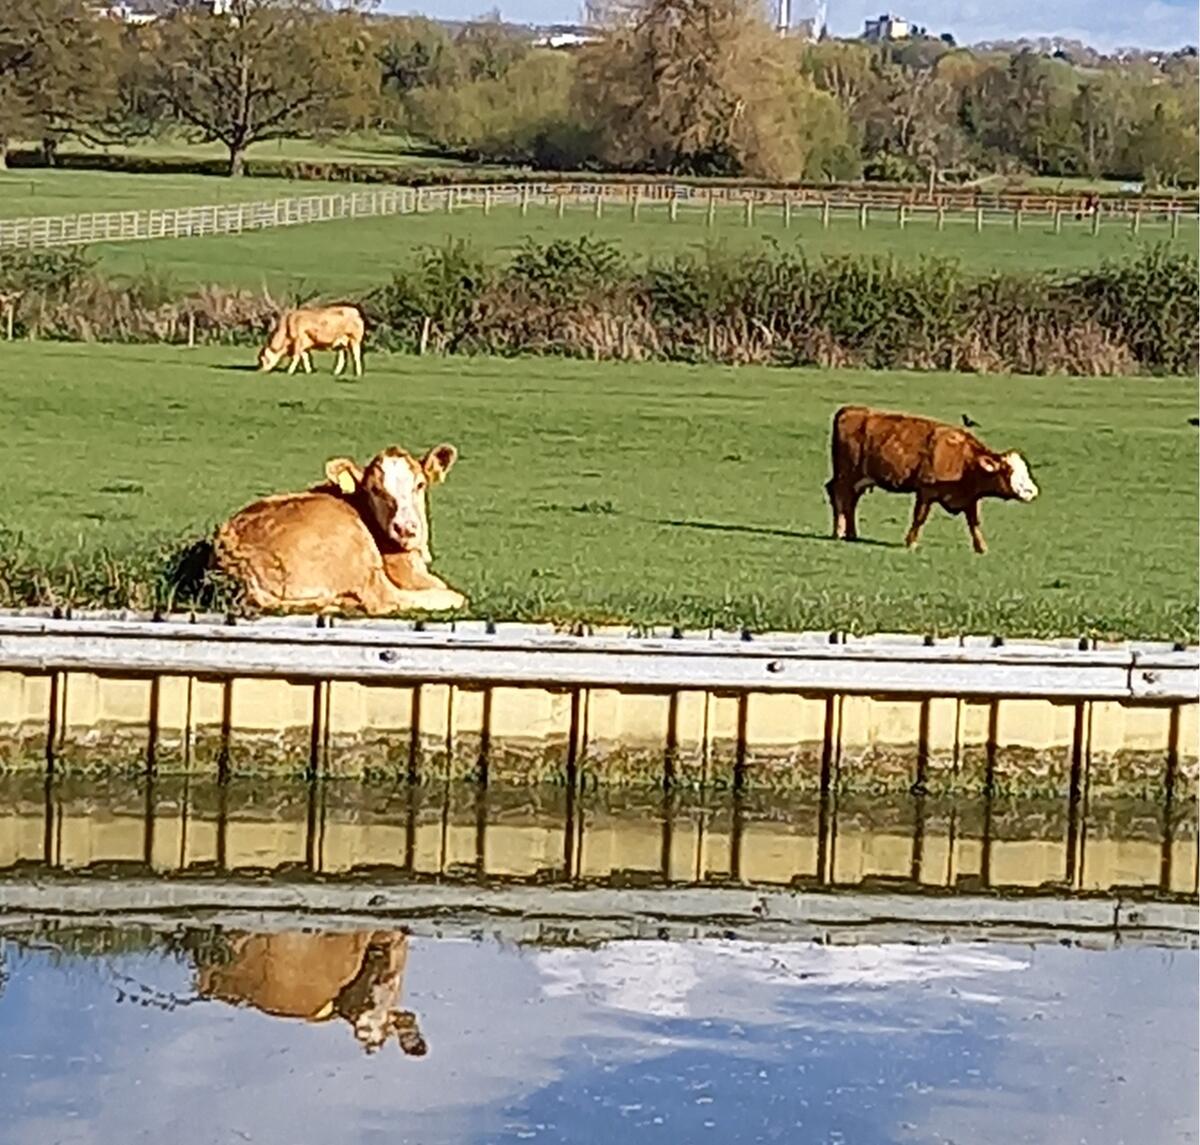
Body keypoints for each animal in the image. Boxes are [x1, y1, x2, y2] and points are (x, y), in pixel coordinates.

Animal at [825, 400, 1041, 554]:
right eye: (1009, 470)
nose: (1032, 491)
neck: (965, 461)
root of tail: (849, 410)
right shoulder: (926, 491)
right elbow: (919, 518)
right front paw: (911, 543)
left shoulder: (970, 498)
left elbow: (974, 523)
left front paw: (981, 547)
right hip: (846, 475)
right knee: (839, 496)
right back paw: (838, 532)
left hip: (859, 479)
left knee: (850, 502)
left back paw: (851, 534)